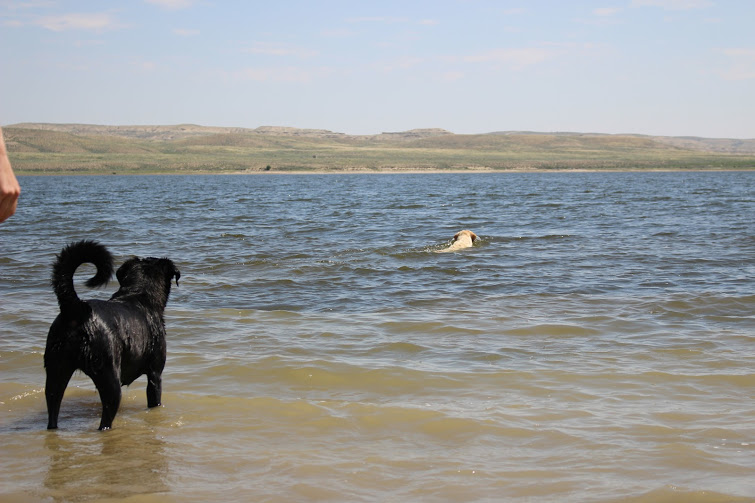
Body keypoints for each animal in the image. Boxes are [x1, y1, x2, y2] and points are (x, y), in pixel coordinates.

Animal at [44, 242, 180, 432]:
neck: (139, 294)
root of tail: (77, 310)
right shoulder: (155, 374)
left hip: (55, 371)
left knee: (53, 406)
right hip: (109, 376)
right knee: (106, 416)